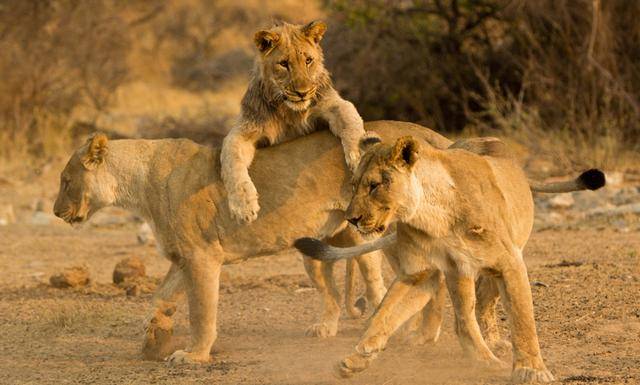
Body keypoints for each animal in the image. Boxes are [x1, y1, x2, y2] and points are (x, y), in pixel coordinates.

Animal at [52, 121, 452, 364]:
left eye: (66, 181)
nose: (56, 212)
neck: (139, 186)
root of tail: (423, 134)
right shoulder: (183, 258)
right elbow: (160, 298)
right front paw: (154, 340)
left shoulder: (202, 256)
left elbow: (201, 311)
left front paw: (193, 355)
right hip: (320, 240)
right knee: (336, 291)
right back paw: (330, 328)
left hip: (382, 228)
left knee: (417, 279)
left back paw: (418, 333)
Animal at [222, 21, 368, 224]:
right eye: (284, 64)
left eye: (308, 60)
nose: (302, 93)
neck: (289, 112)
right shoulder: (245, 130)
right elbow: (231, 159)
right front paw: (243, 206)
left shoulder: (332, 104)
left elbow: (350, 120)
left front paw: (360, 158)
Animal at [296, 135, 604, 380]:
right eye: (354, 185)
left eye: (374, 186)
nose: (351, 219)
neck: (434, 217)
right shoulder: (420, 273)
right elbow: (383, 315)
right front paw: (358, 357)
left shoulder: (509, 263)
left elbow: (522, 319)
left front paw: (532, 370)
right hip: (459, 273)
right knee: (464, 319)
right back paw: (484, 361)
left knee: (484, 307)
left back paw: (494, 346)